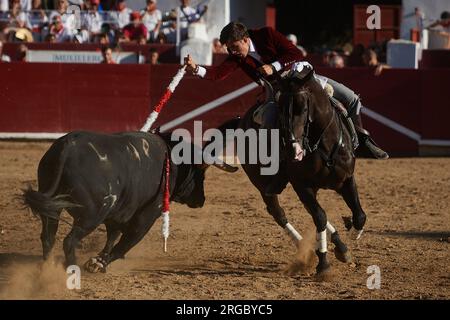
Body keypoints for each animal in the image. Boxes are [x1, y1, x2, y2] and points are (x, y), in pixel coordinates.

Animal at [22, 129, 236, 272]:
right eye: (200, 174)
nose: (201, 200)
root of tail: (67, 148)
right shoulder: (148, 214)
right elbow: (126, 241)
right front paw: (98, 263)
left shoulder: (118, 213)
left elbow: (112, 237)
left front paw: (99, 259)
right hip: (92, 215)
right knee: (69, 241)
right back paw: (72, 269)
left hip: (54, 206)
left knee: (48, 236)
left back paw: (48, 267)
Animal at [227, 71, 368, 276]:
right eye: (281, 108)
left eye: (303, 107)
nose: (292, 147)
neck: (324, 145)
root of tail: (241, 120)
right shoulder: (303, 186)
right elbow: (320, 217)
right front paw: (323, 264)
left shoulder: (346, 179)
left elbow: (359, 215)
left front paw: (349, 237)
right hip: (262, 184)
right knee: (279, 213)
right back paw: (304, 245)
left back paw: (339, 245)